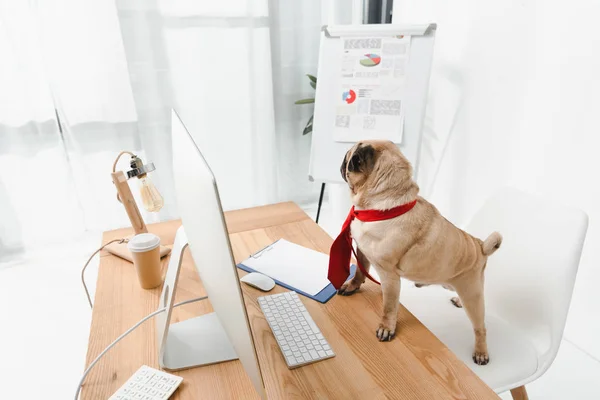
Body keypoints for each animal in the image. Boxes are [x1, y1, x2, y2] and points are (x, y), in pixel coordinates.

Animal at [338, 141, 502, 366]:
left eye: (349, 157)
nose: (343, 159)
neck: (385, 206)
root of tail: (480, 245)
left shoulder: (389, 276)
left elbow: (389, 306)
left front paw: (386, 328)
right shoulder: (363, 251)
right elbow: (360, 272)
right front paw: (352, 285)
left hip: (471, 292)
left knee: (480, 327)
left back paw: (481, 351)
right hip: (465, 287)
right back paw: (458, 300)